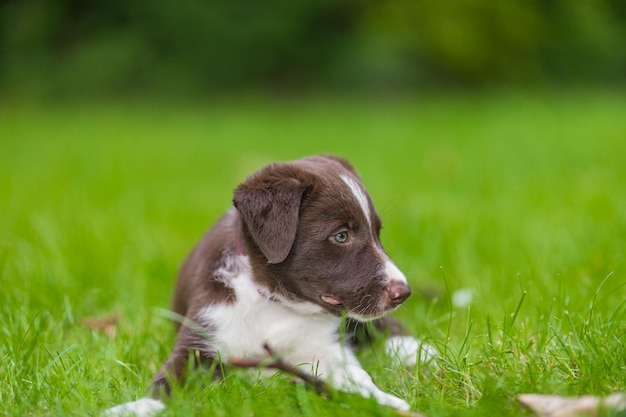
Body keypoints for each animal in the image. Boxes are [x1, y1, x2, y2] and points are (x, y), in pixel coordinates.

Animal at [105, 154, 434, 414]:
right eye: (341, 235)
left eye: (378, 233)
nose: (403, 293)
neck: (274, 301)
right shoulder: (199, 339)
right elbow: (166, 383)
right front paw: (132, 408)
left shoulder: (326, 347)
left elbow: (355, 377)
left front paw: (383, 402)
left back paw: (413, 349)